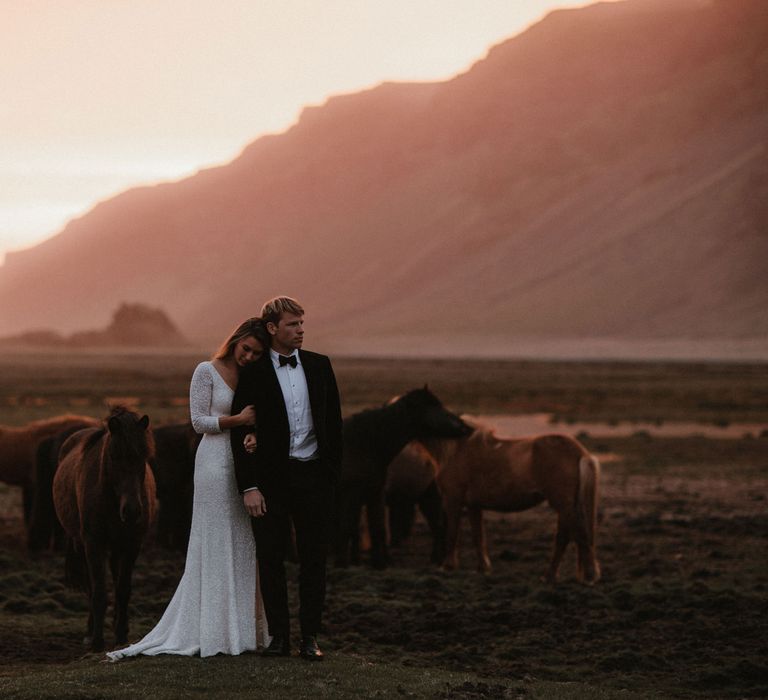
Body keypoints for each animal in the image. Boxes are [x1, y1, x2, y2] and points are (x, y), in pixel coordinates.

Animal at [53, 404, 156, 652]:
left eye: (143, 458)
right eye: (114, 456)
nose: (132, 511)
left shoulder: (131, 544)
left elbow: (123, 589)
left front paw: (120, 636)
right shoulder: (94, 543)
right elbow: (99, 591)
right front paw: (97, 641)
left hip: (117, 547)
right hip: (83, 545)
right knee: (92, 587)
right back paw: (90, 631)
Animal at [424, 422, 604, 584]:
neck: (455, 449)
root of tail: (580, 452)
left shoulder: (452, 500)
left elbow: (452, 533)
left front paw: (447, 567)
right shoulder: (473, 505)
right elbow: (478, 537)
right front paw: (482, 568)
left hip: (563, 505)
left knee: (577, 534)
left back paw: (581, 576)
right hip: (567, 506)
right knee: (567, 536)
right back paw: (555, 576)